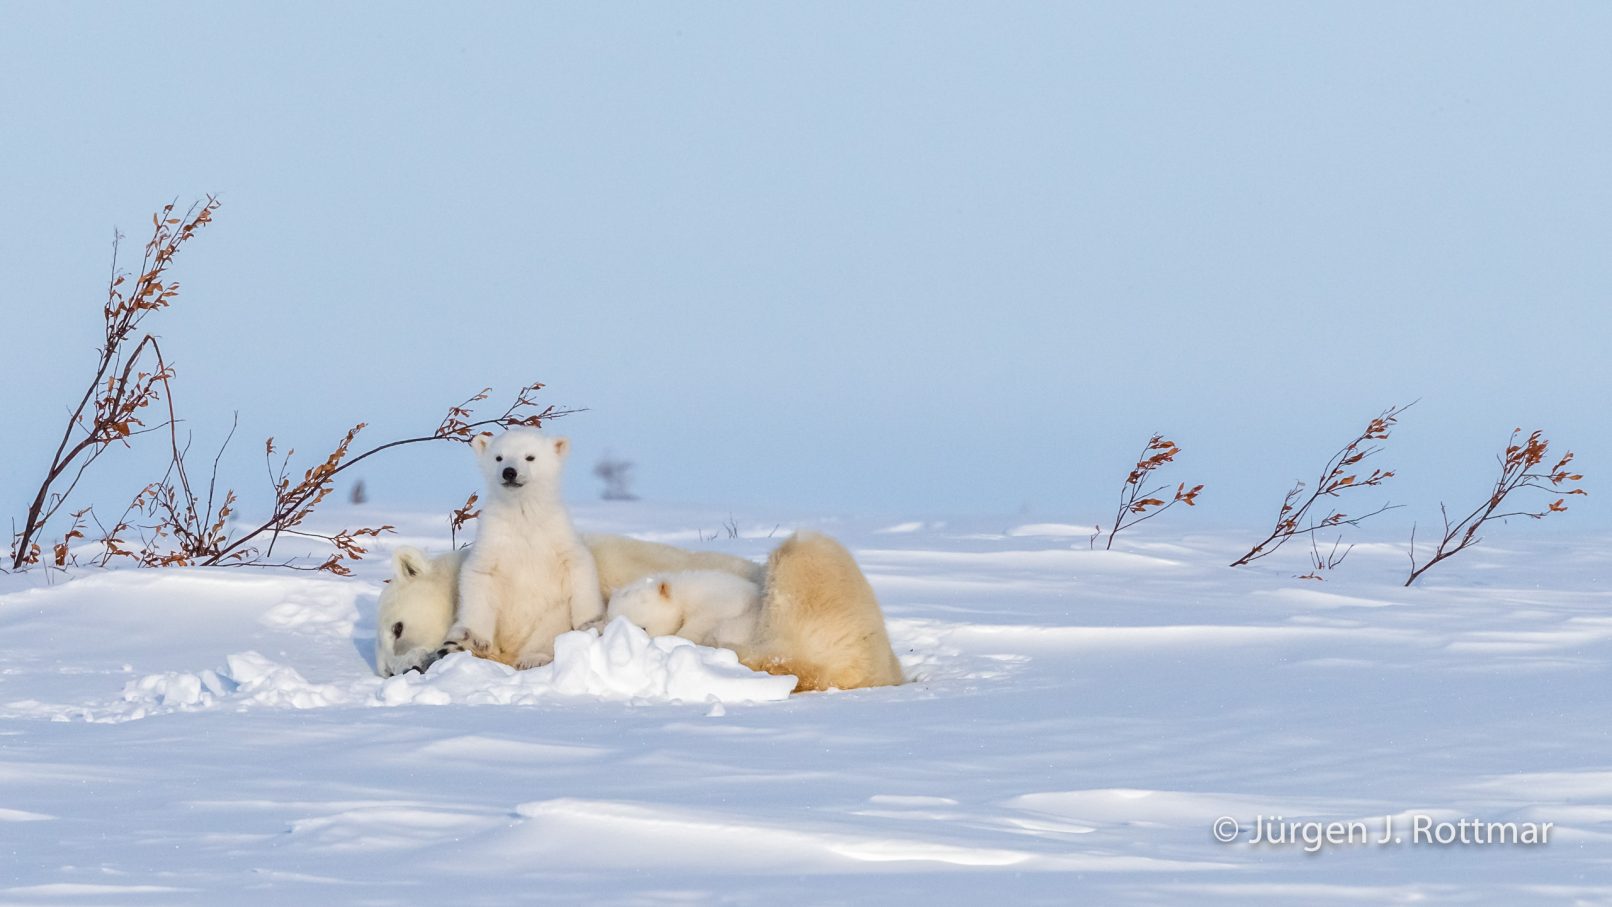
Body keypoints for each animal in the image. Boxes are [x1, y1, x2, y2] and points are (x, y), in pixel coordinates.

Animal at [436, 429, 604, 670]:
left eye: (530, 457)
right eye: (499, 457)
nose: (509, 472)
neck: (522, 512)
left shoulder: (556, 535)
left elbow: (579, 566)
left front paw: (588, 624)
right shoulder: (493, 538)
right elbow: (478, 575)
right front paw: (477, 639)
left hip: (551, 619)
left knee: (546, 634)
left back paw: (532, 659)